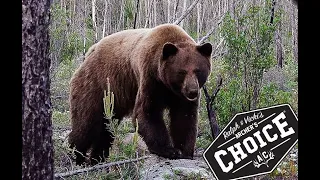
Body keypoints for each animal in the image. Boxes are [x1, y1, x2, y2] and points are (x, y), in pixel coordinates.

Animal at [68, 23, 212, 165]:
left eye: (198, 70)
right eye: (182, 72)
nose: (192, 91)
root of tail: (89, 53)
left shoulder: (180, 96)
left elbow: (184, 116)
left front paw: (184, 151)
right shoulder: (150, 78)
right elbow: (147, 111)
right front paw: (169, 150)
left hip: (113, 99)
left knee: (106, 129)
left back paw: (97, 158)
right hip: (96, 85)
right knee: (86, 123)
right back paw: (75, 156)